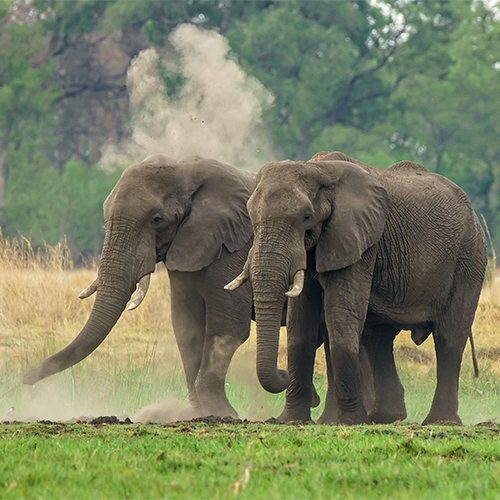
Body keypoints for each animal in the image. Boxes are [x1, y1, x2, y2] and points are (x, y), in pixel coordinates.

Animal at [23, 155, 258, 418]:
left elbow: (228, 327)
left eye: (157, 220)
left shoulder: (232, 247)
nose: (26, 381)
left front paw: (224, 414)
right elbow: (186, 326)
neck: (186, 169)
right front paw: (202, 413)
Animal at [228, 150, 488, 424]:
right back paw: (384, 417)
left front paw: (350, 421)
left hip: (469, 257)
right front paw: (291, 420)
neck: (318, 169)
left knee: (449, 337)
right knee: (378, 337)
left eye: (306, 217)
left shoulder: (358, 240)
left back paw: (440, 421)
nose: (282, 374)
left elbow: (340, 314)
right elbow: (301, 324)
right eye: (251, 217)